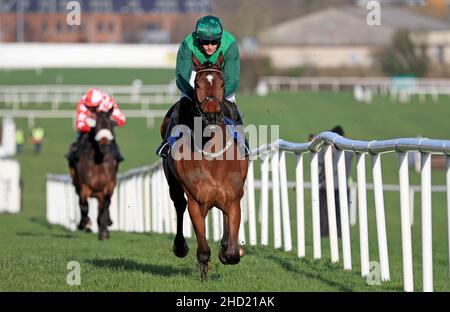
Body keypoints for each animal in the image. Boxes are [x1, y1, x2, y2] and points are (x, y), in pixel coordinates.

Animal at [68, 108, 119, 240]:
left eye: (110, 124)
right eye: (97, 125)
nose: (104, 143)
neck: (99, 160)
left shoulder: (109, 185)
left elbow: (106, 205)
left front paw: (104, 232)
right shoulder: (84, 185)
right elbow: (84, 205)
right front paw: (86, 224)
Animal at [160, 51, 248, 280]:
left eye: (221, 82)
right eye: (197, 83)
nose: (212, 114)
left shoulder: (233, 199)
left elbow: (233, 253)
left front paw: (228, 251)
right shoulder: (196, 202)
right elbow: (203, 248)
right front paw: (204, 272)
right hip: (173, 183)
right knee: (178, 204)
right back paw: (180, 246)